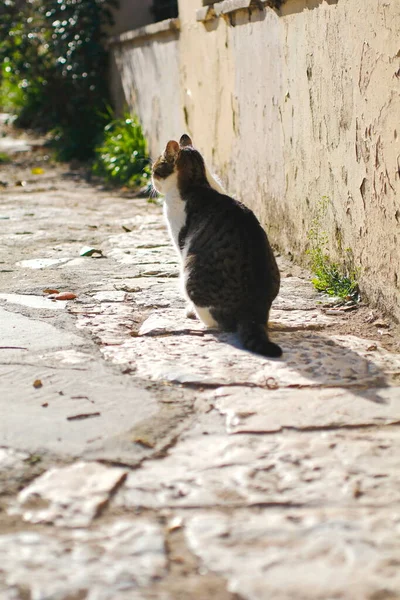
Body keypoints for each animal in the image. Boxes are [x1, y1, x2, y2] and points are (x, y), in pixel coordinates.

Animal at [152, 134, 282, 356]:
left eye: (155, 169)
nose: (151, 182)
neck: (198, 183)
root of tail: (252, 311)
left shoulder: (181, 243)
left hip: (190, 270)